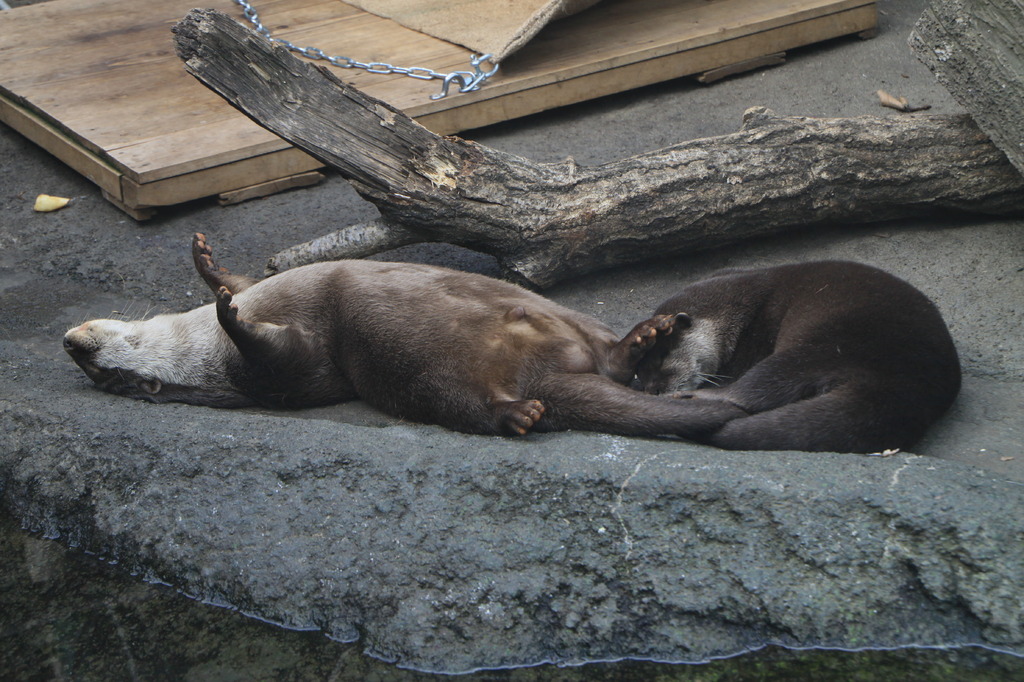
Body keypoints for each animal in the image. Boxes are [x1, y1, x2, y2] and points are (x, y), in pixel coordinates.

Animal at [634, 260, 962, 450]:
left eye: (662, 360)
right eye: (639, 372)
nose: (651, 390)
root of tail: (903, 384)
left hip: (822, 346)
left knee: (754, 390)